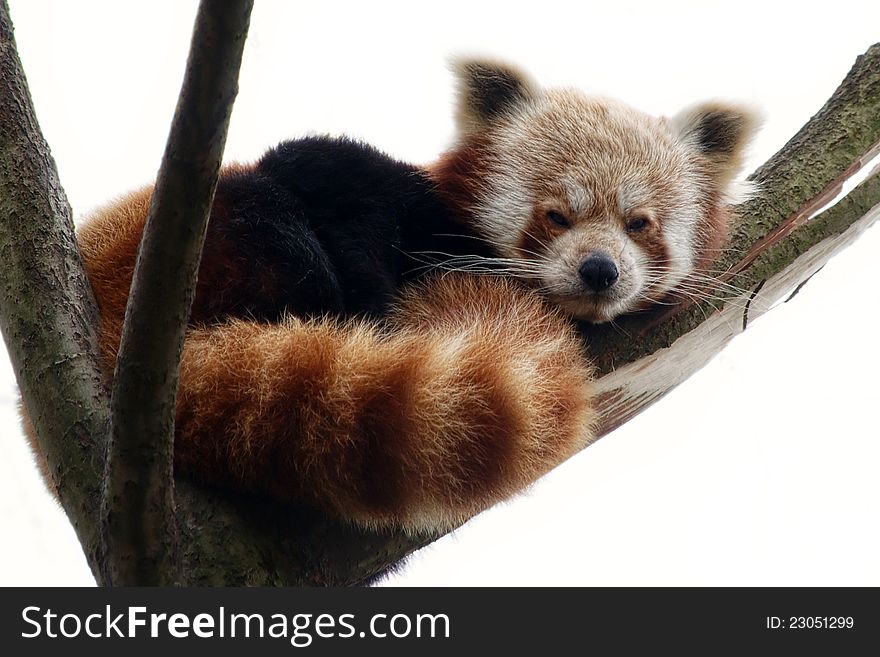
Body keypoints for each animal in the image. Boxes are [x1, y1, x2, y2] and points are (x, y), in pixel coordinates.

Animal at [25, 60, 756, 532]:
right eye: (555, 216)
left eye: (640, 224)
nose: (600, 270)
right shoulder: (377, 186)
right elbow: (330, 169)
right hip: (203, 231)